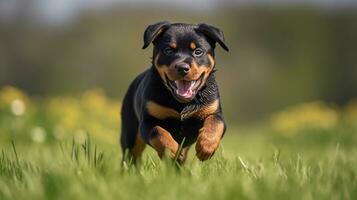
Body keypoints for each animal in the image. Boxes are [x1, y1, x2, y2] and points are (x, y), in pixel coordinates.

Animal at [120, 21, 228, 163]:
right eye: (168, 50)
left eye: (198, 52)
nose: (182, 68)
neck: (181, 103)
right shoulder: (147, 121)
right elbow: (159, 132)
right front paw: (171, 151)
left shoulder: (214, 111)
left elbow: (215, 124)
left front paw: (206, 147)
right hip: (130, 133)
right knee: (131, 156)